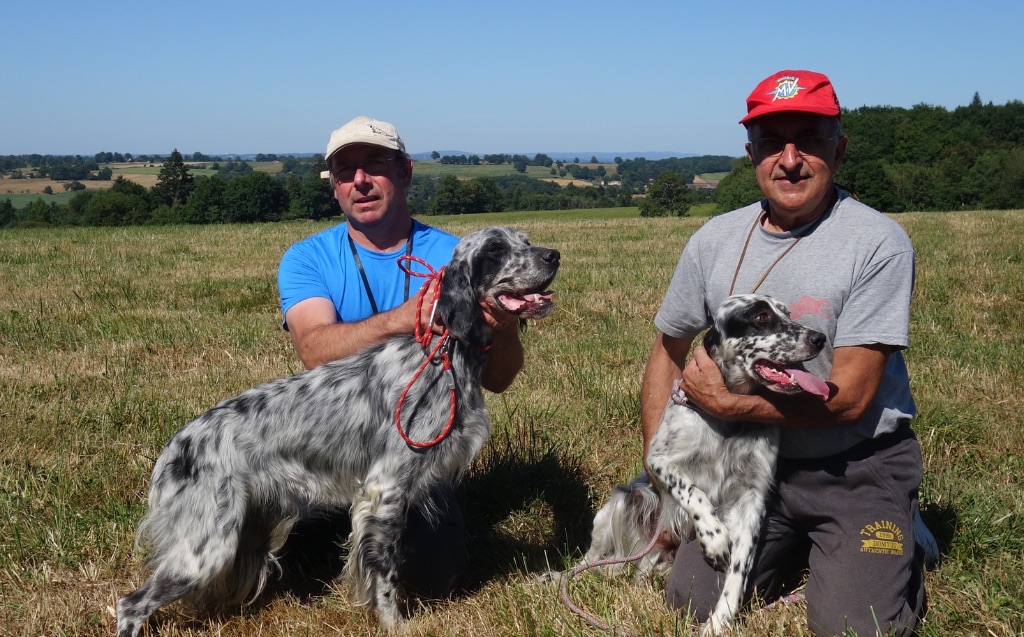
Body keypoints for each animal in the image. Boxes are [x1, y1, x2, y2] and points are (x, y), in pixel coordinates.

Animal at [116, 227, 561, 634]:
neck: (447, 357)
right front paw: (395, 624)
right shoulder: (385, 490)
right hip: (207, 545)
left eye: (525, 241)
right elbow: (384, 571)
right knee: (130, 604)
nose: (553, 255)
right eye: (496, 248)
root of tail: (176, 447)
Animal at [581, 296, 827, 634]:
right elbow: (694, 492)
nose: (819, 338)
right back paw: (557, 579)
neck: (729, 422)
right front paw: (714, 539)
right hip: (625, 500)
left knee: (641, 566)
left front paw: (720, 620)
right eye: (761, 317)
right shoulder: (658, 461)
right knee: (591, 558)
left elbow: (739, 568)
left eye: (787, 313)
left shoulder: (753, 497)